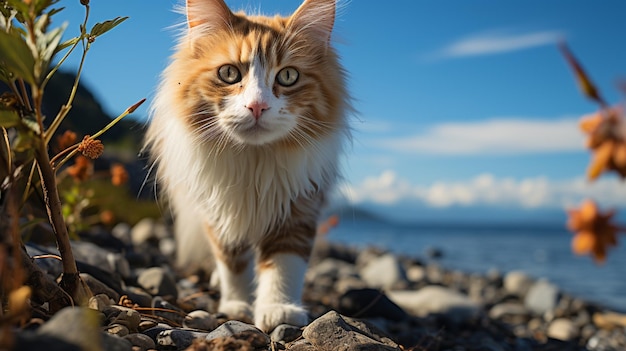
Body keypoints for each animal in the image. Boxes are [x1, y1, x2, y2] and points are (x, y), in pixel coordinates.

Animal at [144, 0, 348, 332]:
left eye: (288, 76)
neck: (254, 161)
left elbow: (284, 266)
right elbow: (233, 263)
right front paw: (236, 306)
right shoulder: (219, 213)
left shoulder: (298, 208)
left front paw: (278, 309)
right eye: (229, 73)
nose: (257, 106)